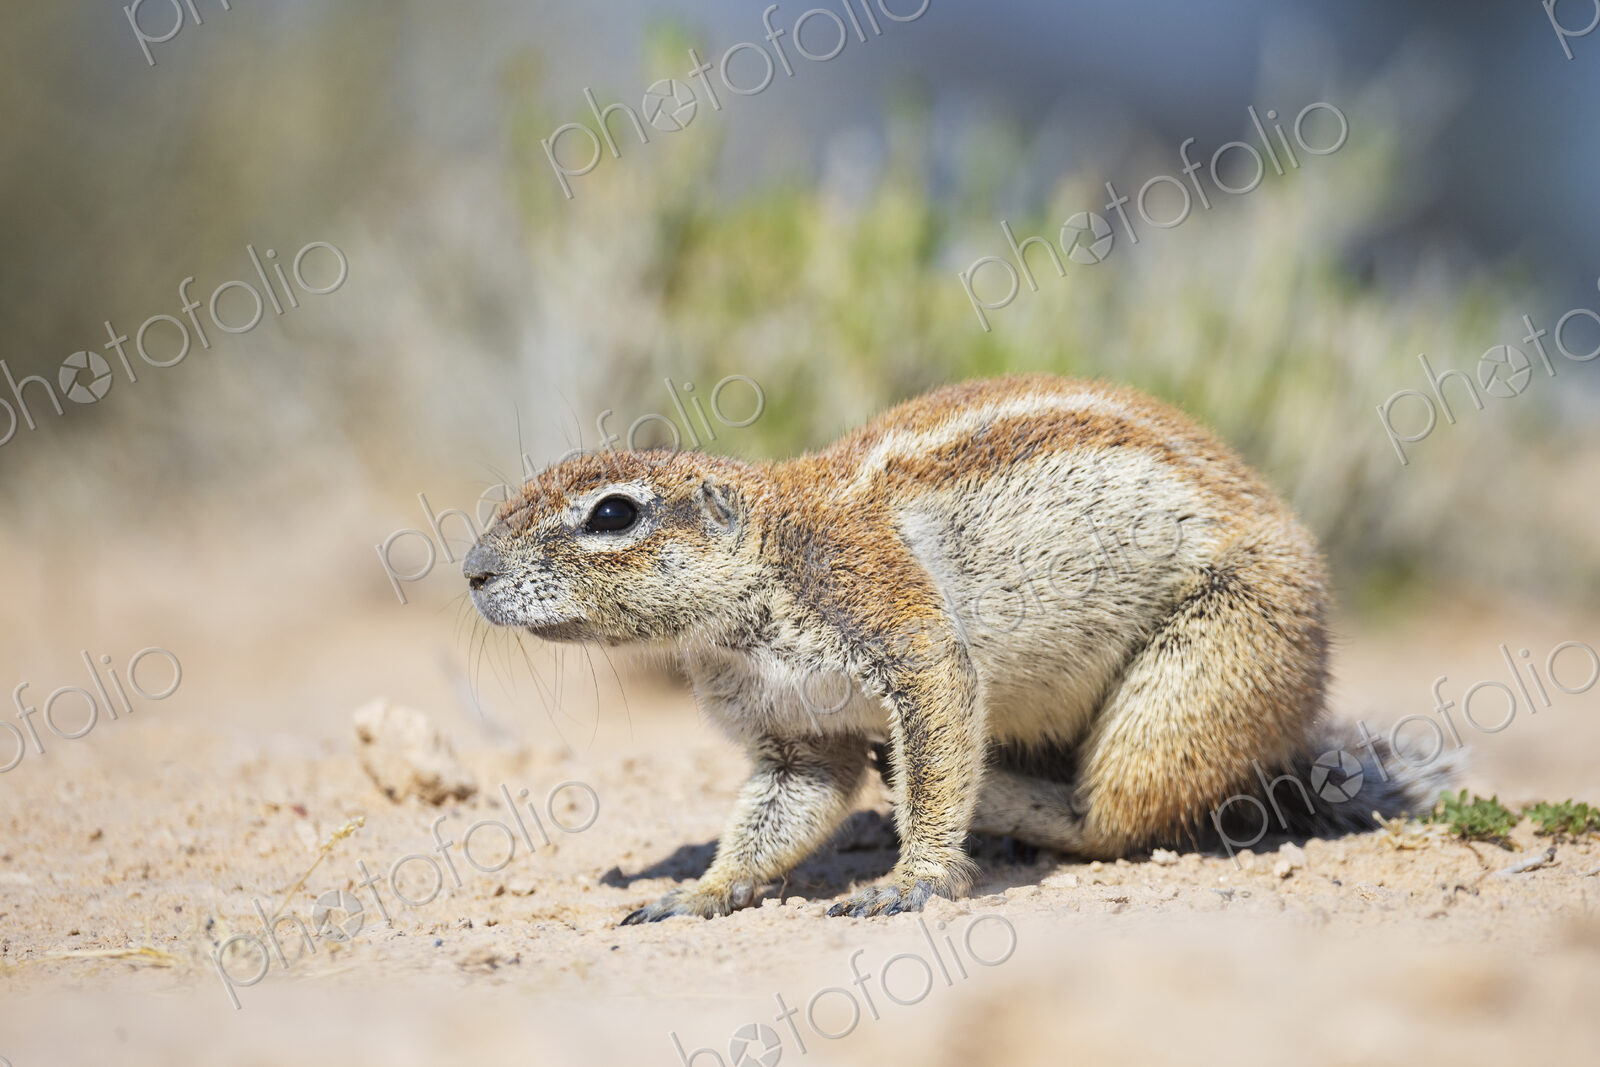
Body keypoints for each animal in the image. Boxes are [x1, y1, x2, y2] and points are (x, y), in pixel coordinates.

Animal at [464, 374, 1444, 921]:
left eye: (612, 513)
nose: (472, 570)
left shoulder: (892, 613)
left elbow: (939, 718)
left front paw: (914, 876)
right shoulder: (793, 729)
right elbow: (787, 801)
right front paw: (703, 887)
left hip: (1198, 679)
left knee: (1117, 818)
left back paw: (1003, 801)